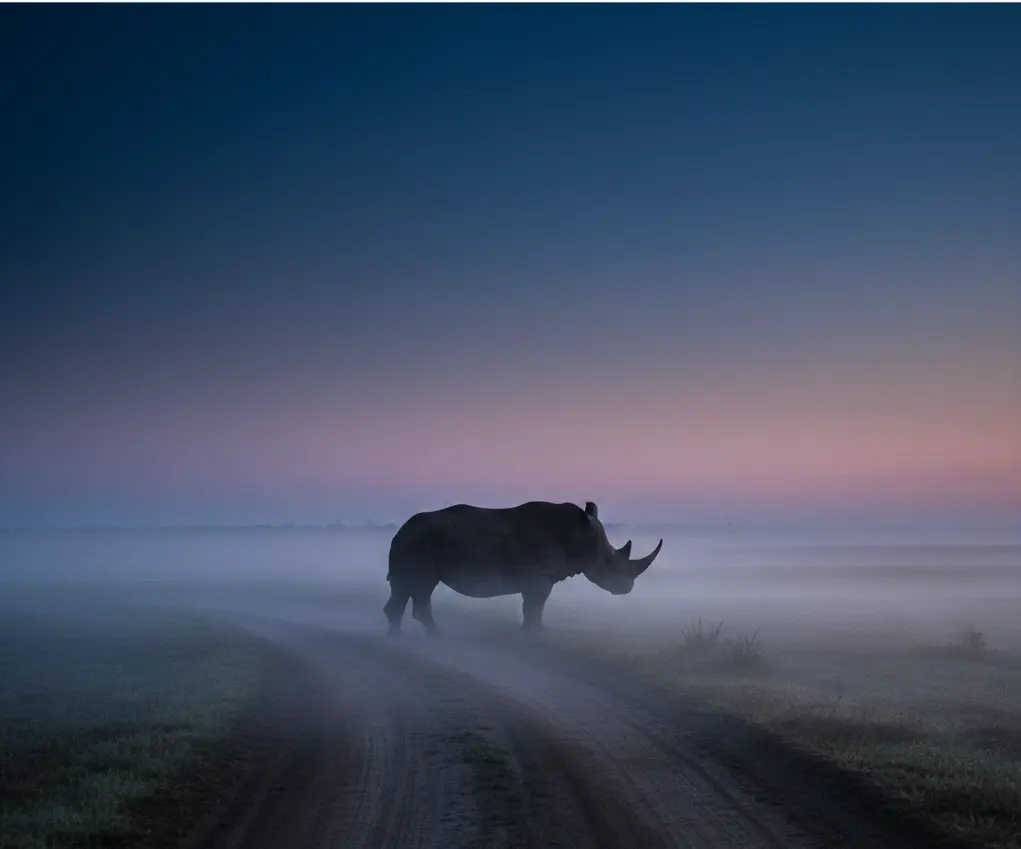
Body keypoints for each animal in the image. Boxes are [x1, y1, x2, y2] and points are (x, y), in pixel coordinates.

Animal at [383, 500, 662, 635]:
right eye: (609, 562)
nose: (627, 588)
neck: (578, 535)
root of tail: (400, 530)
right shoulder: (539, 577)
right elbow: (534, 606)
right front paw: (534, 633)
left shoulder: (538, 577)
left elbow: (534, 608)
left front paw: (536, 631)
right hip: (416, 543)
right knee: (419, 585)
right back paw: (436, 636)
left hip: (414, 543)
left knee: (408, 587)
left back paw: (401, 638)